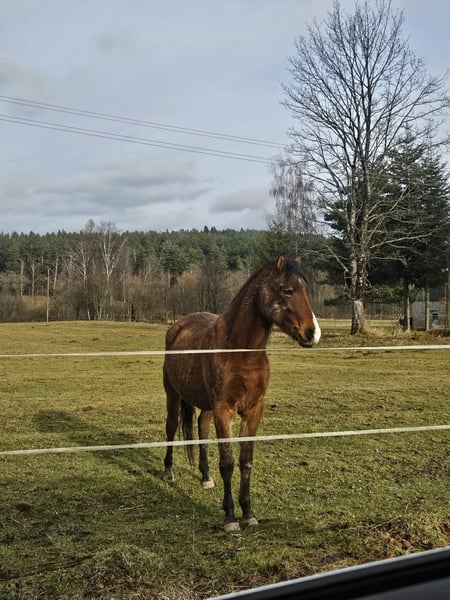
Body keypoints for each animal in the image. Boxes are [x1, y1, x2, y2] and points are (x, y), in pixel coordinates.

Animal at [161, 254, 321, 532]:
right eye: (287, 290)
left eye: (307, 291)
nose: (313, 333)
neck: (240, 351)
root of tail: (177, 326)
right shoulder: (224, 410)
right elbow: (228, 463)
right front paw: (229, 517)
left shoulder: (253, 410)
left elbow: (246, 461)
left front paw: (248, 513)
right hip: (173, 395)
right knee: (171, 429)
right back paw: (168, 473)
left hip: (206, 406)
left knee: (202, 429)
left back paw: (205, 476)